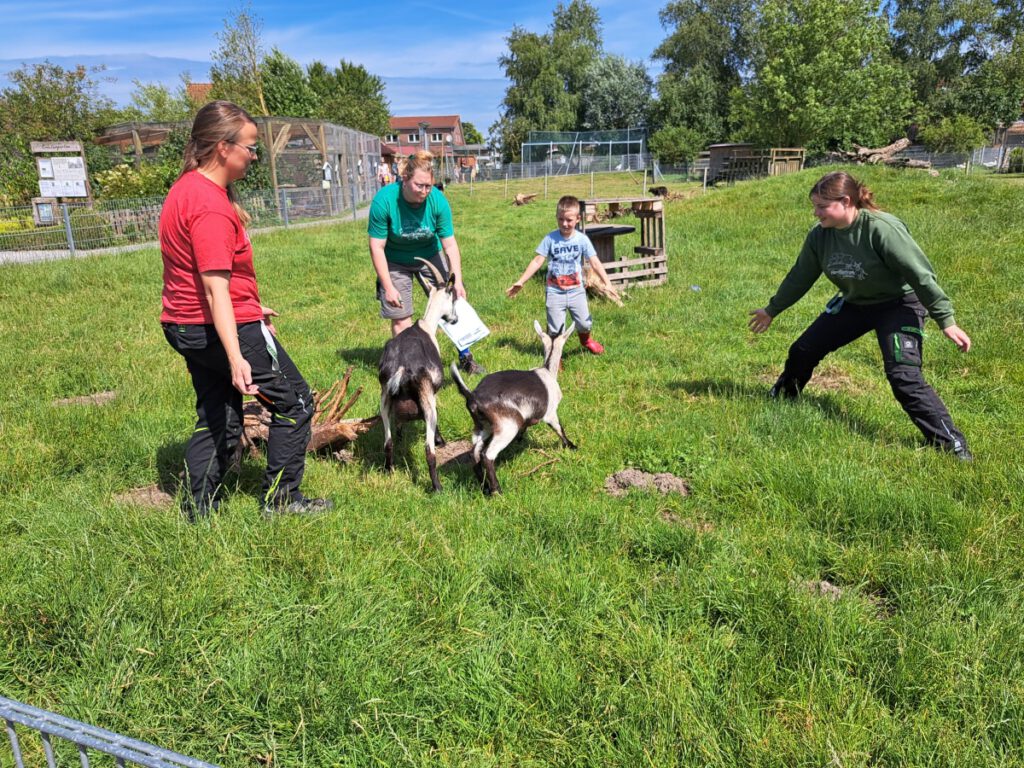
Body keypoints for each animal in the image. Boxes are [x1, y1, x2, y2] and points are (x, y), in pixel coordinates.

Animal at [376, 259, 456, 493]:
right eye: (453, 298)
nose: (454, 319)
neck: (427, 325)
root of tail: (401, 367)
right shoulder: (433, 393)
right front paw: (441, 440)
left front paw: (402, 432)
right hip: (425, 398)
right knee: (428, 451)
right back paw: (437, 487)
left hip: (384, 398)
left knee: (388, 443)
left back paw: (389, 471)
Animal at [450, 321, 577, 495]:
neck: (548, 370)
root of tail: (473, 396)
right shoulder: (550, 413)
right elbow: (559, 429)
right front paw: (571, 446)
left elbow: (526, 428)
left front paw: (520, 440)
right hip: (507, 425)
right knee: (487, 455)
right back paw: (497, 491)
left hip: (482, 426)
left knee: (474, 453)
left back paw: (485, 488)